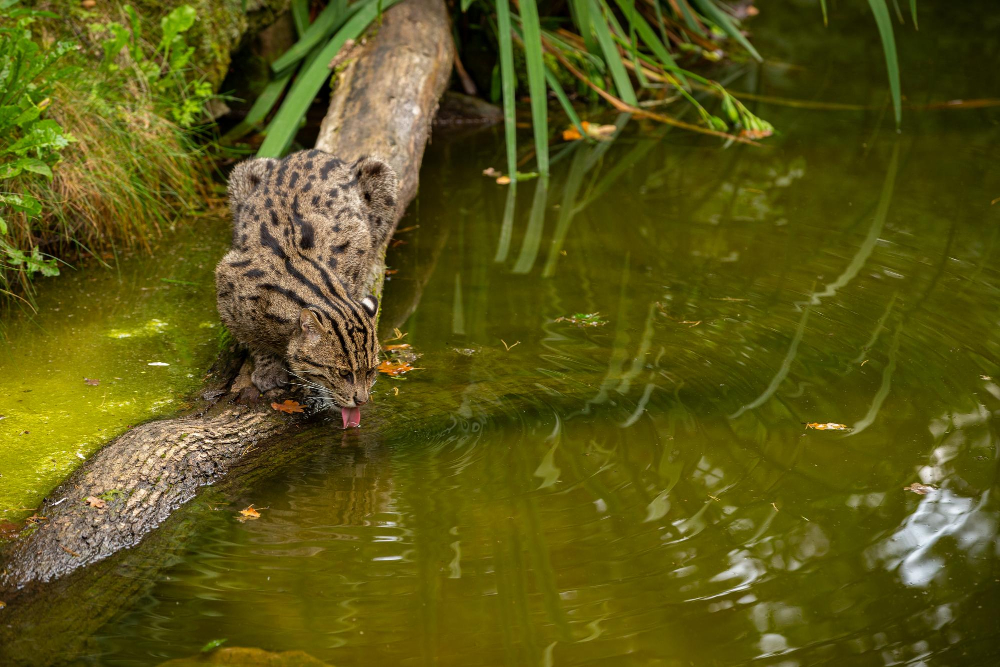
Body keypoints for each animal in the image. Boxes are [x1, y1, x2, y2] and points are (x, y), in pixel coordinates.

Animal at [215, 149, 398, 428]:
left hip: (380, 173)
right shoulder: (226, 282)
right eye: (343, 373)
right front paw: (268, 365)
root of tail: (313, 152)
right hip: (243, 175)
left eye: (371, 371)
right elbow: (252, 338)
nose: (362, 400)